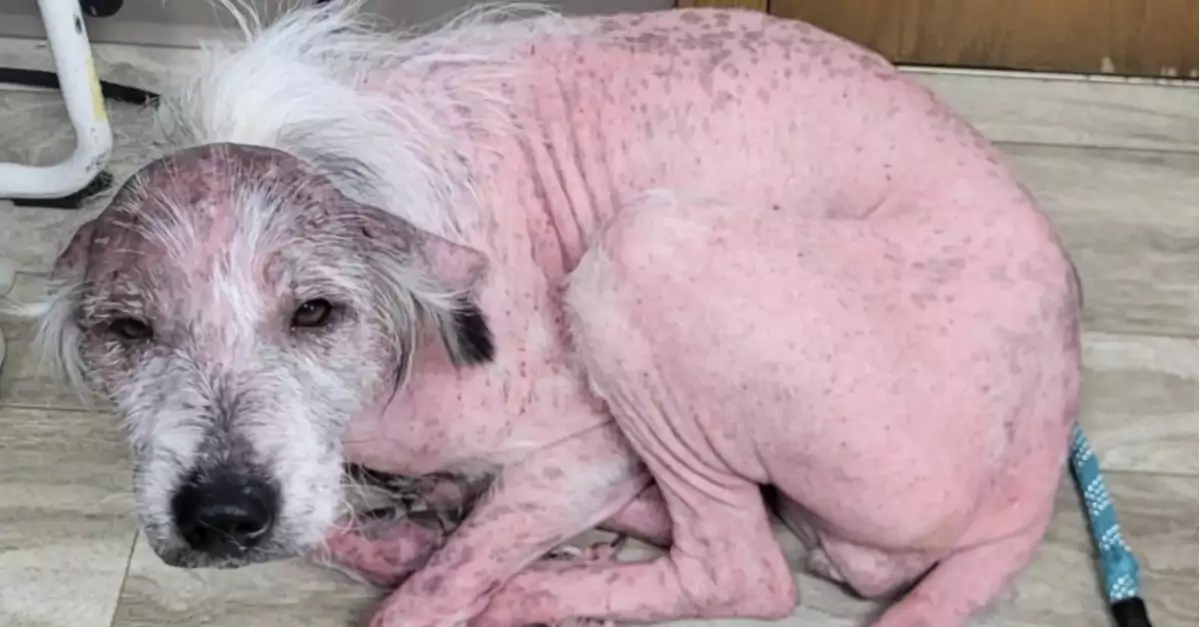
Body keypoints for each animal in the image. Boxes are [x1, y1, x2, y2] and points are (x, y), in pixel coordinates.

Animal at [23, 0, 1137, 619]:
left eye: (313, 314)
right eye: (128, 332)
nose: (221, 517)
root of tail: (1053, 429)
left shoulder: (583, 441)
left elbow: (422, 598)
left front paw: (441, 561)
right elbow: (333, 518)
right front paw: (397, 533)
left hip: (644, 252)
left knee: (746, 570)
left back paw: (535, 589)